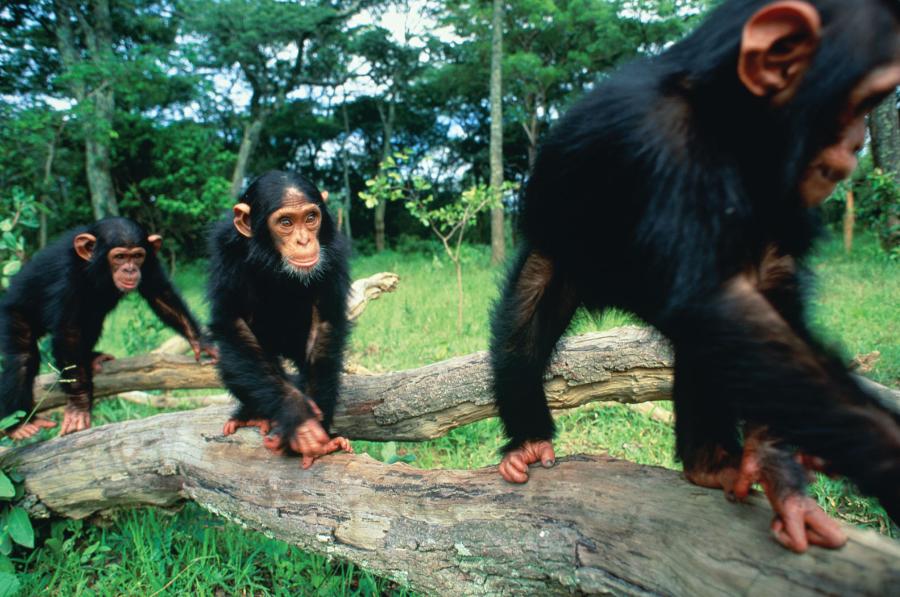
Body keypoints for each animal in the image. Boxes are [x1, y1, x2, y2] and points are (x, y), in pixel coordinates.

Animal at [0, 218, 216, 438]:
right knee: (23, 357)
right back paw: (19, 424)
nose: (130, 269)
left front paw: (200, 341)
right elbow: (69, 333)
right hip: (13, 312)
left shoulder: (150, 263)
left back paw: (91, 358)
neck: (95, 267)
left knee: (92, 319)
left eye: (137, 256)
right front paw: (79, 405)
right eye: (119, 257)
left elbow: (160, 294)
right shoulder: (66, 275)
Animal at [209, 170, 354, 468]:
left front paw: (321, 433)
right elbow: (235, 324)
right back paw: (252, 413)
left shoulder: (333, 254)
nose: (304, 241)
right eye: (286, 222)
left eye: (310, 218)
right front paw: (300, 421)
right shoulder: (225, 249)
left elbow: (322, 329)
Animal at [492, 0, 900, 556]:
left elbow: (762, 292)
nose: (859, 141)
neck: (728, 124)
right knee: (524, 327)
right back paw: (529, 441)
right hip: (557, 256)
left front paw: (778, 468)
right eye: (869, 99)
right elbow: (715, 304)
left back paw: (709, 461)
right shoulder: (653, 138)